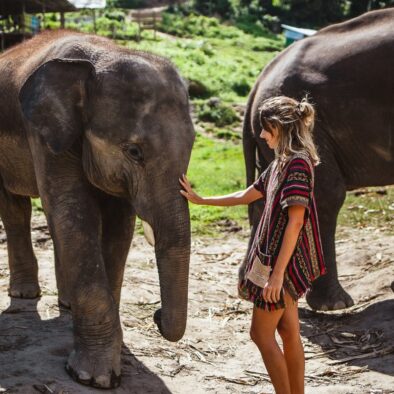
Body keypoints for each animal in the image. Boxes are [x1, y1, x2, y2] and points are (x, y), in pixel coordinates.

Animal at [0, 30, 195, 388]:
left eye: (192, 146)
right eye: (134, 151)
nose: (157, 314)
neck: (104, 53)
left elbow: (119, 226)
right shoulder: (44, 134)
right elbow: (75, 211)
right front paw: (96, 378)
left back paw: (66, 302)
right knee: (16, 208)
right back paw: (24, 294)